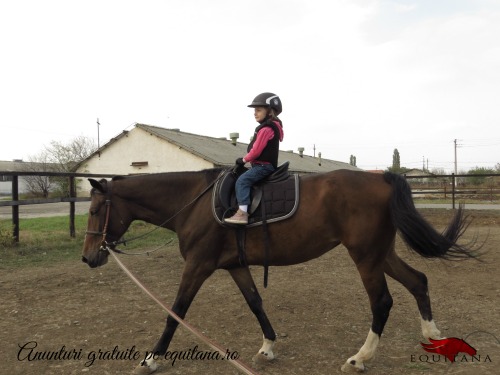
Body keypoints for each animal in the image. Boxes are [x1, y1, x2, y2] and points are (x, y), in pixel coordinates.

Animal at [82, 169, 476, 374]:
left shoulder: (198, 266)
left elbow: (175, 311)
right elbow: (255, 302)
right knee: (418, 281)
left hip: (365, 257)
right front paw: (268, 348)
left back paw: (360, 358)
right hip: (381, 254)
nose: (88, 258)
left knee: (381, 302)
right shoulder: (236, 266)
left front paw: (151, 358)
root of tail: (381, 177)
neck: (193, 203)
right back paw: (432, 334)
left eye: (95, 210)